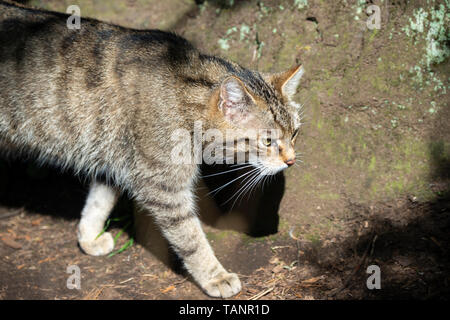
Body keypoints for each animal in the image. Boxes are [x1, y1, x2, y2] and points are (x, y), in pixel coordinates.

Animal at [0, 1, 304, 298]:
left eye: (295, 133)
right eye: (267, 141)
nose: (291, 161)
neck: (184, 97)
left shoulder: (114, 159)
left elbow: (99, 202)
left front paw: (88, 237)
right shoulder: (163, 187)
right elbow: (191, 238)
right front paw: (215, 276)